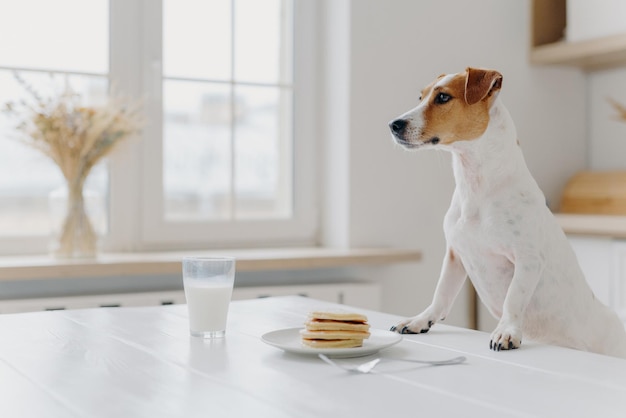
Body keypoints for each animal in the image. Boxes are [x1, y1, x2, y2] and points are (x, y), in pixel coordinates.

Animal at [386, 67, 624, 358]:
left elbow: (514, 297)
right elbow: (441, 293)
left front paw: (507, 331)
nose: (393, 124)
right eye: (420, 97)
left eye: (443, 97)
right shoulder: (455, 255)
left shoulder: (528, 259)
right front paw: (420, 320)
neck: (476, 186)